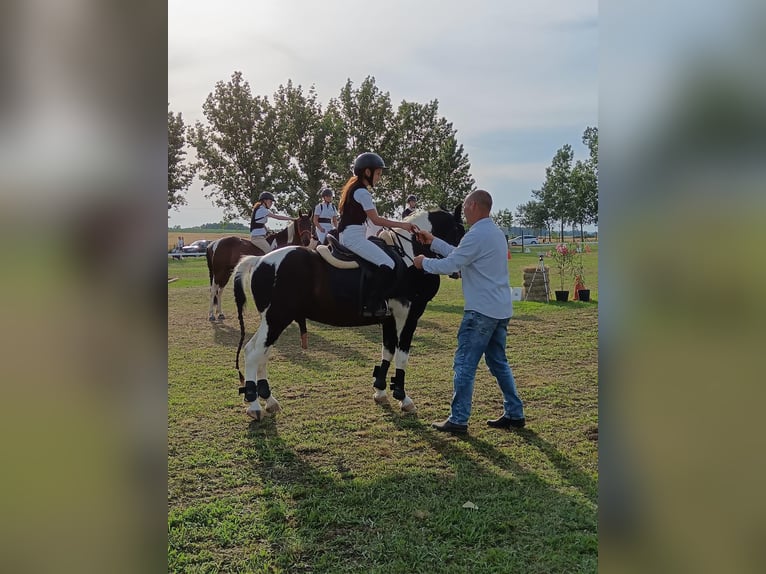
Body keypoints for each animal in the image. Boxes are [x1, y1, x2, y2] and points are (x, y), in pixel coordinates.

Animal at [231, 208, 464, 424]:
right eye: (458, 230)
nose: (459, 268)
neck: (408, 256)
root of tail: (260, 260)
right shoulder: (410, 315)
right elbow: (402, 355)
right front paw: (402, 397)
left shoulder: (389, 317)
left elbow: (387, 351)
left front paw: (380, 391)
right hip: (276, 319)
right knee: (254, 352)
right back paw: (254, 405)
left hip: (273, 321)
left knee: (261, 353)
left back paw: (268, 400)